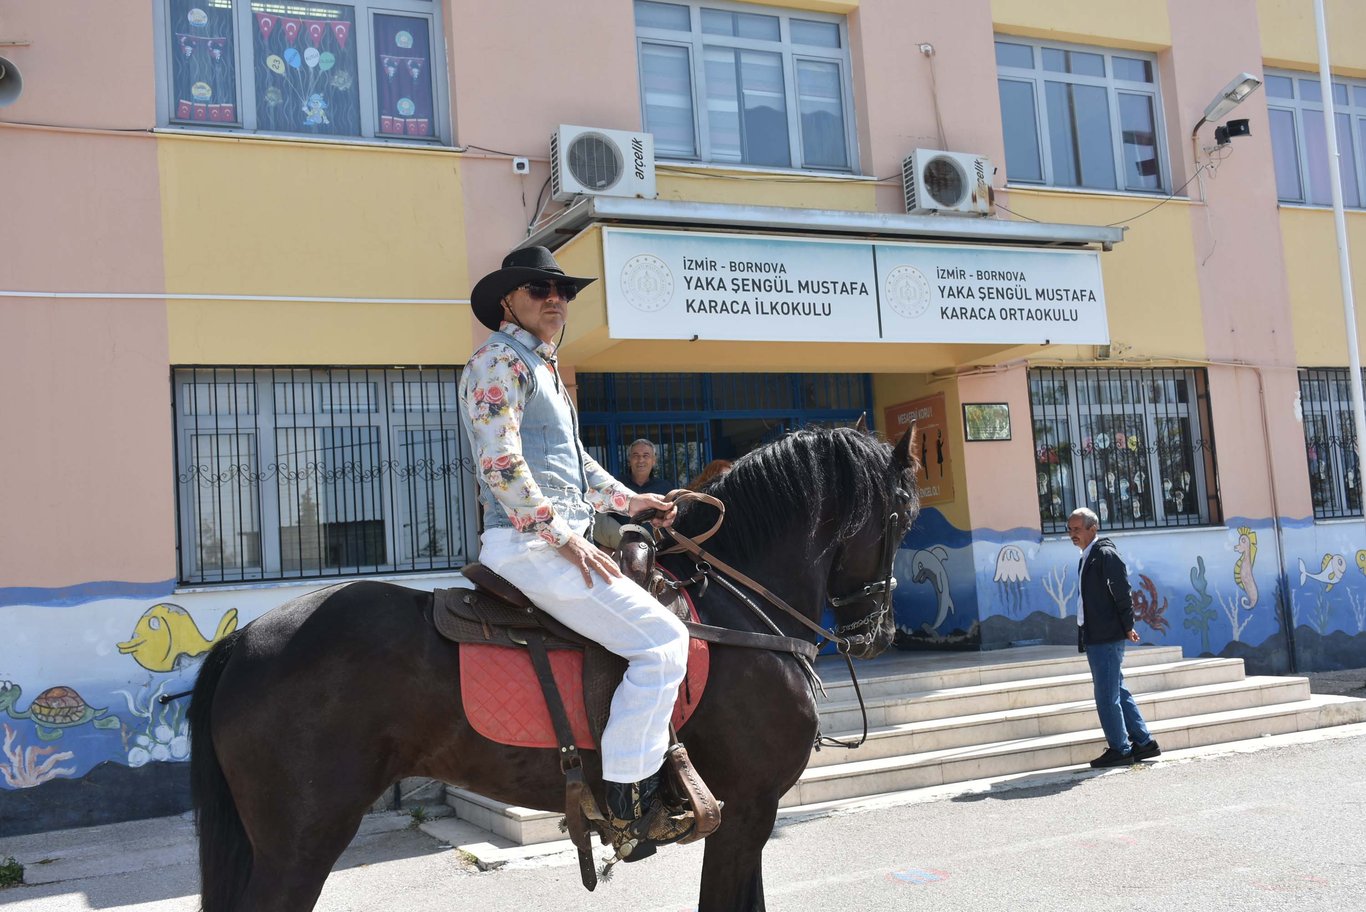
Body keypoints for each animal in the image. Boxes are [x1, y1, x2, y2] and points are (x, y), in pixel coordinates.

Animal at [189, 428, 917, 912]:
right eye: (902, 516)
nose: (878, 632)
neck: (736, 610)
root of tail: (244, 639)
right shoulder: (746, 811)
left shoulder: (748, 816)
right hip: (302, 840)